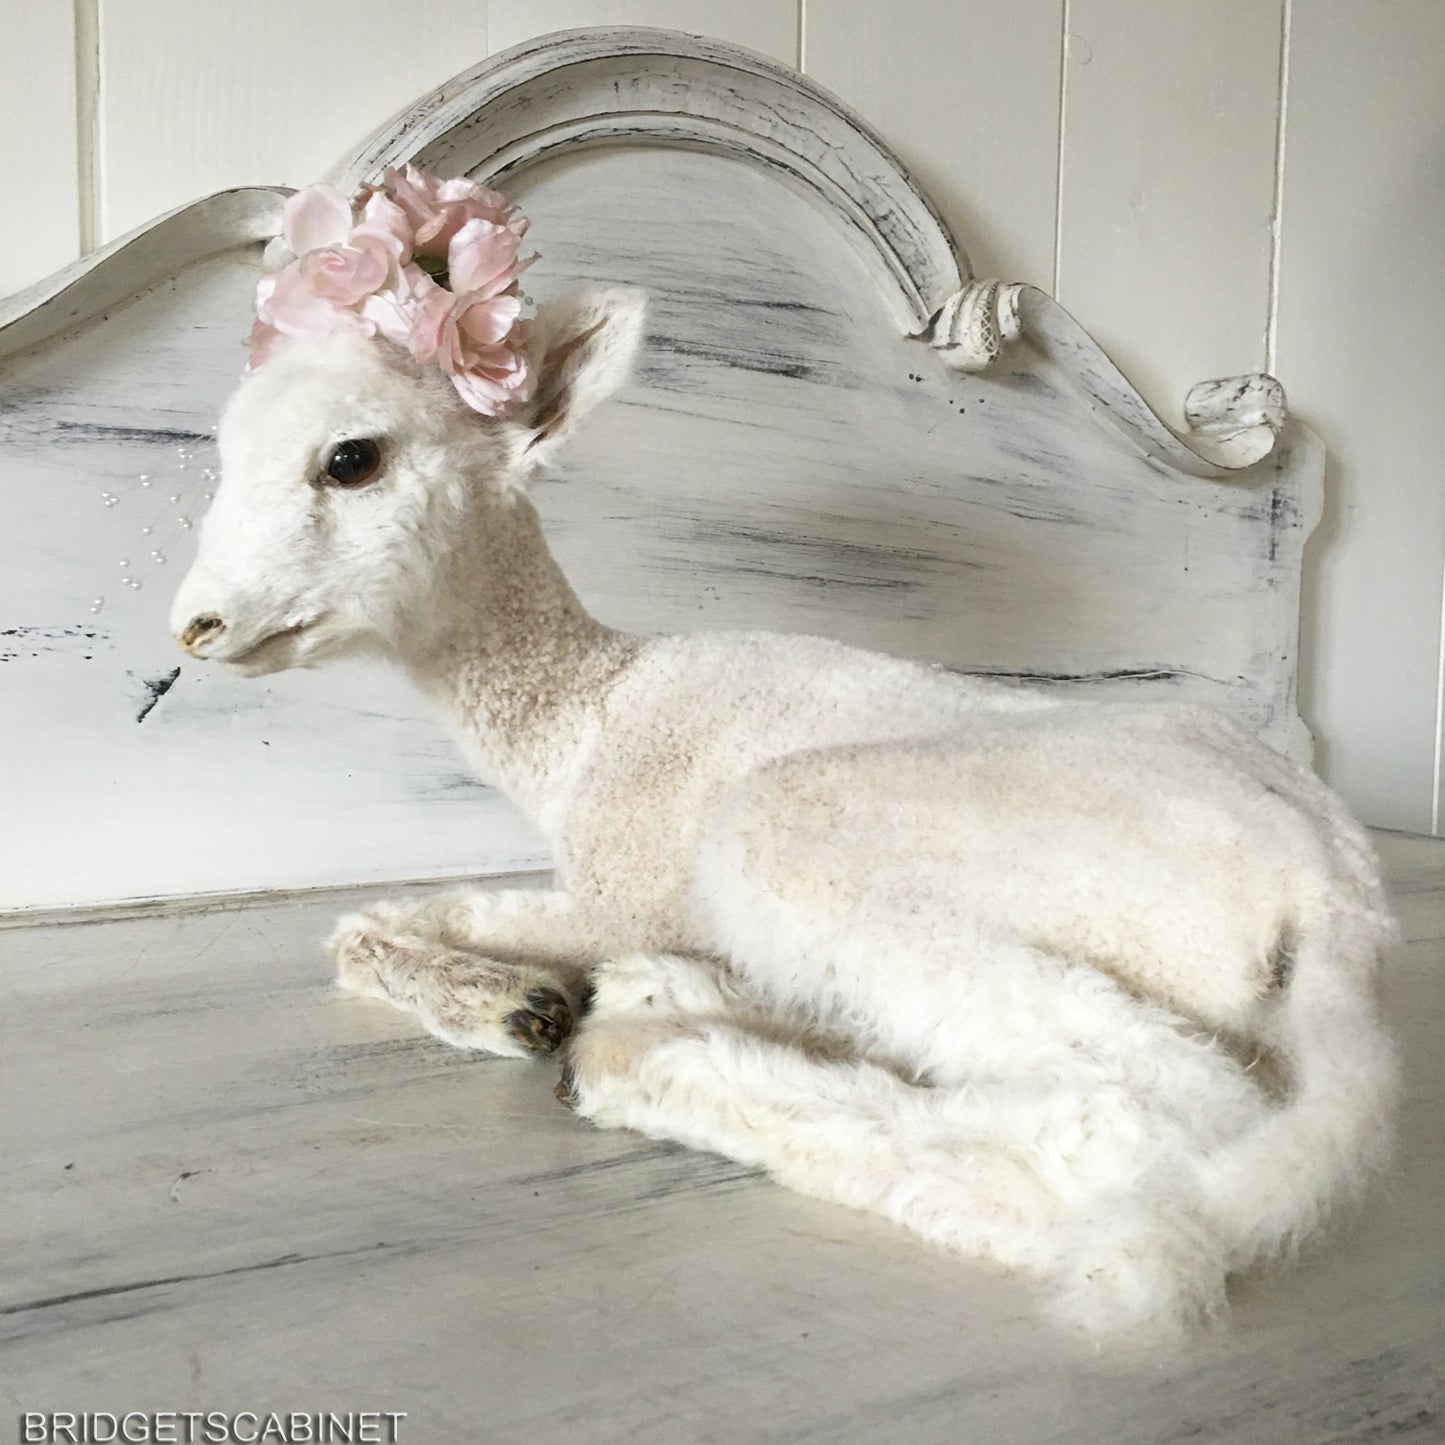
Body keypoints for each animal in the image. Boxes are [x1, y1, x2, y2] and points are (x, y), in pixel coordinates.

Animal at [170, 188, 1398, 1346]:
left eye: (352, 459)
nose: (194, 624)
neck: (588, 712)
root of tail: (1335, 895)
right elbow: (373, 923)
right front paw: (516, 998)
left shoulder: (626, 883)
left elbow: (372, 927)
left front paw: (531, 1006)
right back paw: (668, 998)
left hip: (813, 831)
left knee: (1147, 1121)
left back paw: (649, 1067)